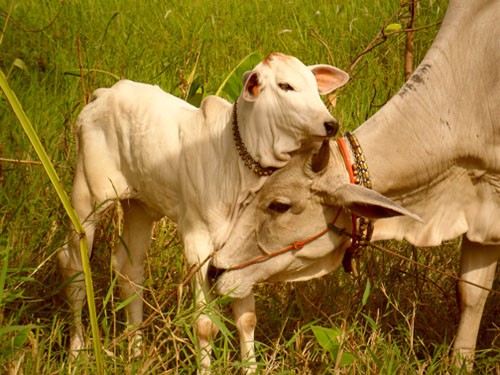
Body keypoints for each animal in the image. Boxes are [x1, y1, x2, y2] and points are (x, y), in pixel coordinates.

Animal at [57, 53, 348, 374]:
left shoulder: (239, 250)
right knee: (74, 266)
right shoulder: (198, 245)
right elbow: (205, 325)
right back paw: (76, 353)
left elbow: (247, 318)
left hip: (139, 207)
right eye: (286, 86)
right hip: (87, 197)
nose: (330, 124)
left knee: (129, 268)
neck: (236, 161)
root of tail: (102, 95)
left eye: (315, 87)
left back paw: (136, 353)